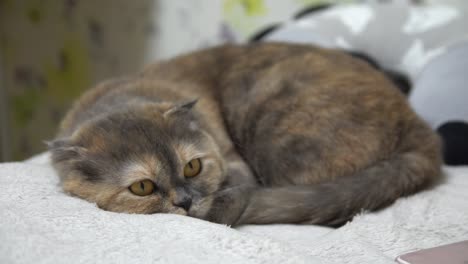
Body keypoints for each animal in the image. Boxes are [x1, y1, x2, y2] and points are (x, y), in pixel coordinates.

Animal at [48, 42, 442, 226]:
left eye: (192, 167)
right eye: (142, 187)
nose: (186, 202)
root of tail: (420, 130)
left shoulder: (235, 163)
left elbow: (235, 193)